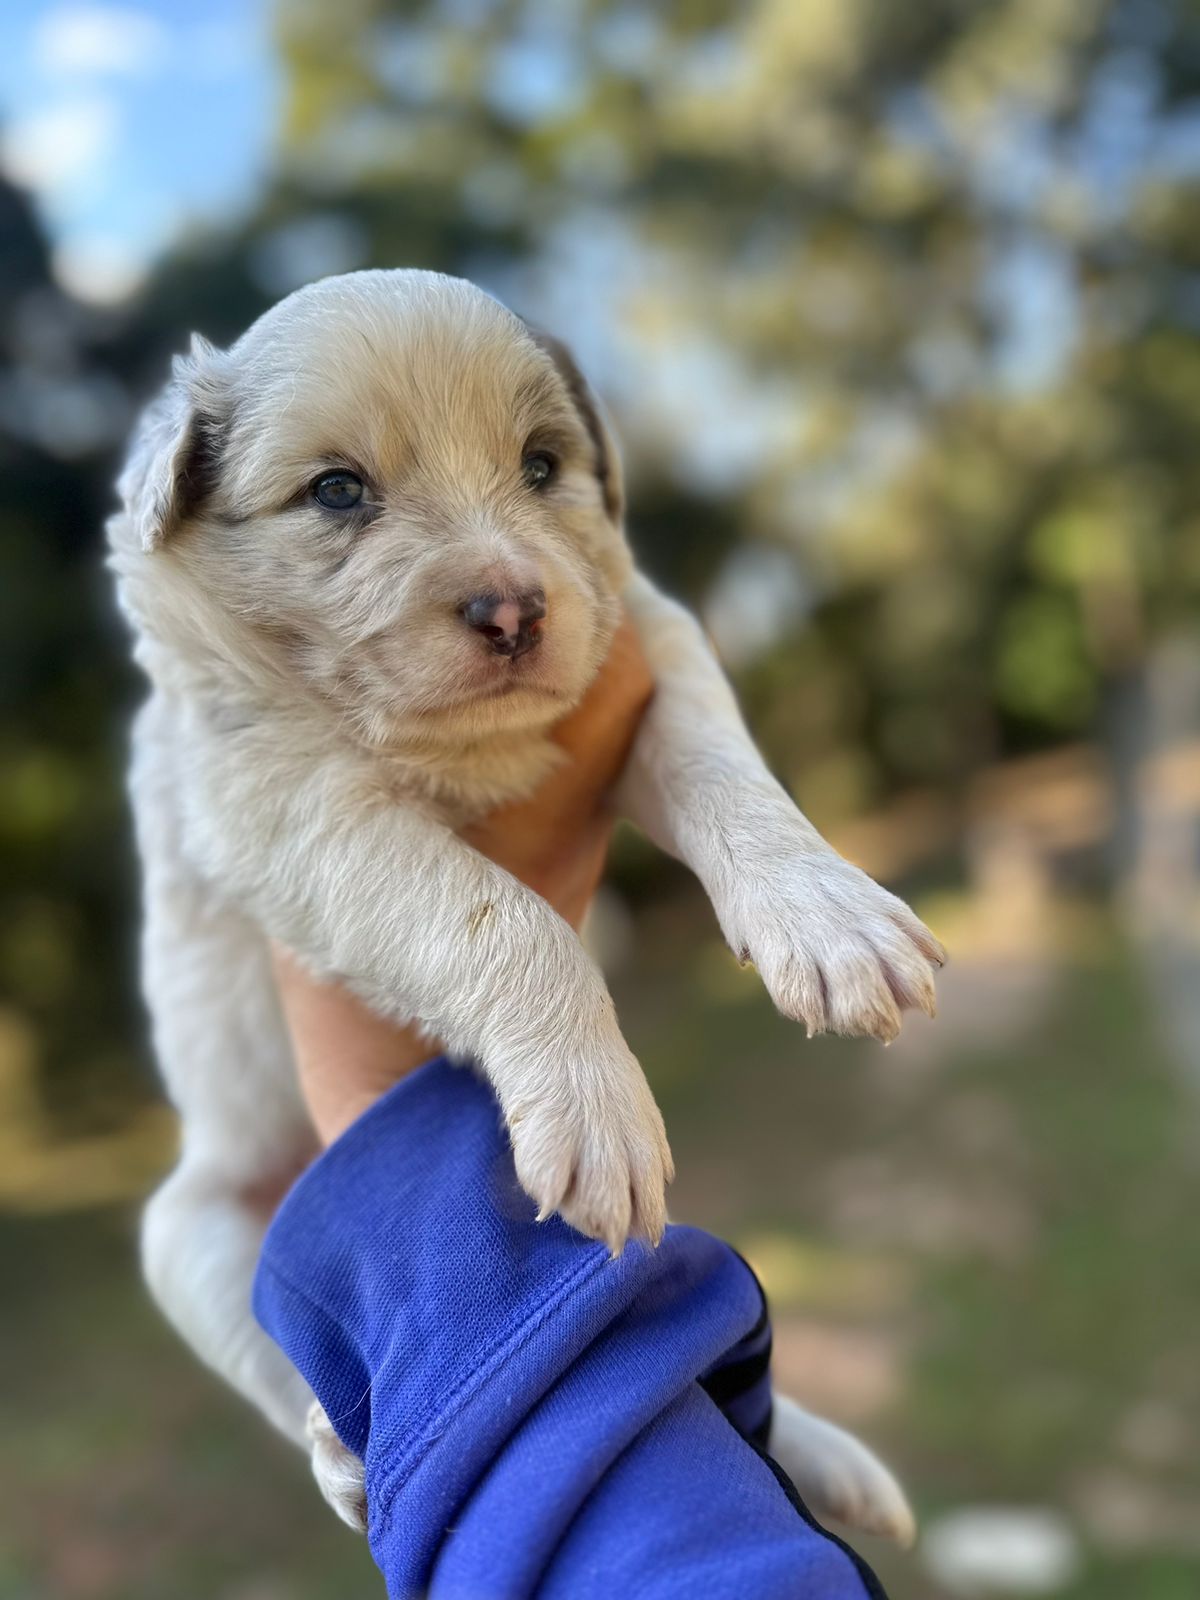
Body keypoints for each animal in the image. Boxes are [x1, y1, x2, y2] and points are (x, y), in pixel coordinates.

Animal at [109, 269, 941, 1546]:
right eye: (336, 490)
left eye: (542, 466)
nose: (513, 610)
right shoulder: (278, 801)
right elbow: (498, 912)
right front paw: (594, 1106)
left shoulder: (652, 647)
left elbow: (727, 771)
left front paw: (830, 919)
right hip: (191, 1226)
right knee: (280, 1362)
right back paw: (340, 1448)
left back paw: (836, 1462)